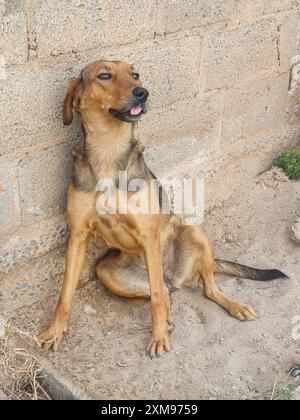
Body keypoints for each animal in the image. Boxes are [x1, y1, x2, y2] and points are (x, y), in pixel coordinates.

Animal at [39, 60, 286, 358]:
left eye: (135, 74)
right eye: (104, 75)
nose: (142, 92)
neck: (109, 152)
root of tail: (173, 274)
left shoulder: (148, 236)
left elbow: (156, 296)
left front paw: (157, 337)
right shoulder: (77, 236)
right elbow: (65, 294)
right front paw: (54, 332)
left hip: (192, 232)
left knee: (200, 288)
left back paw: (233, 305)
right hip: (106, 272)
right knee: (166, 290)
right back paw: (169, 317)